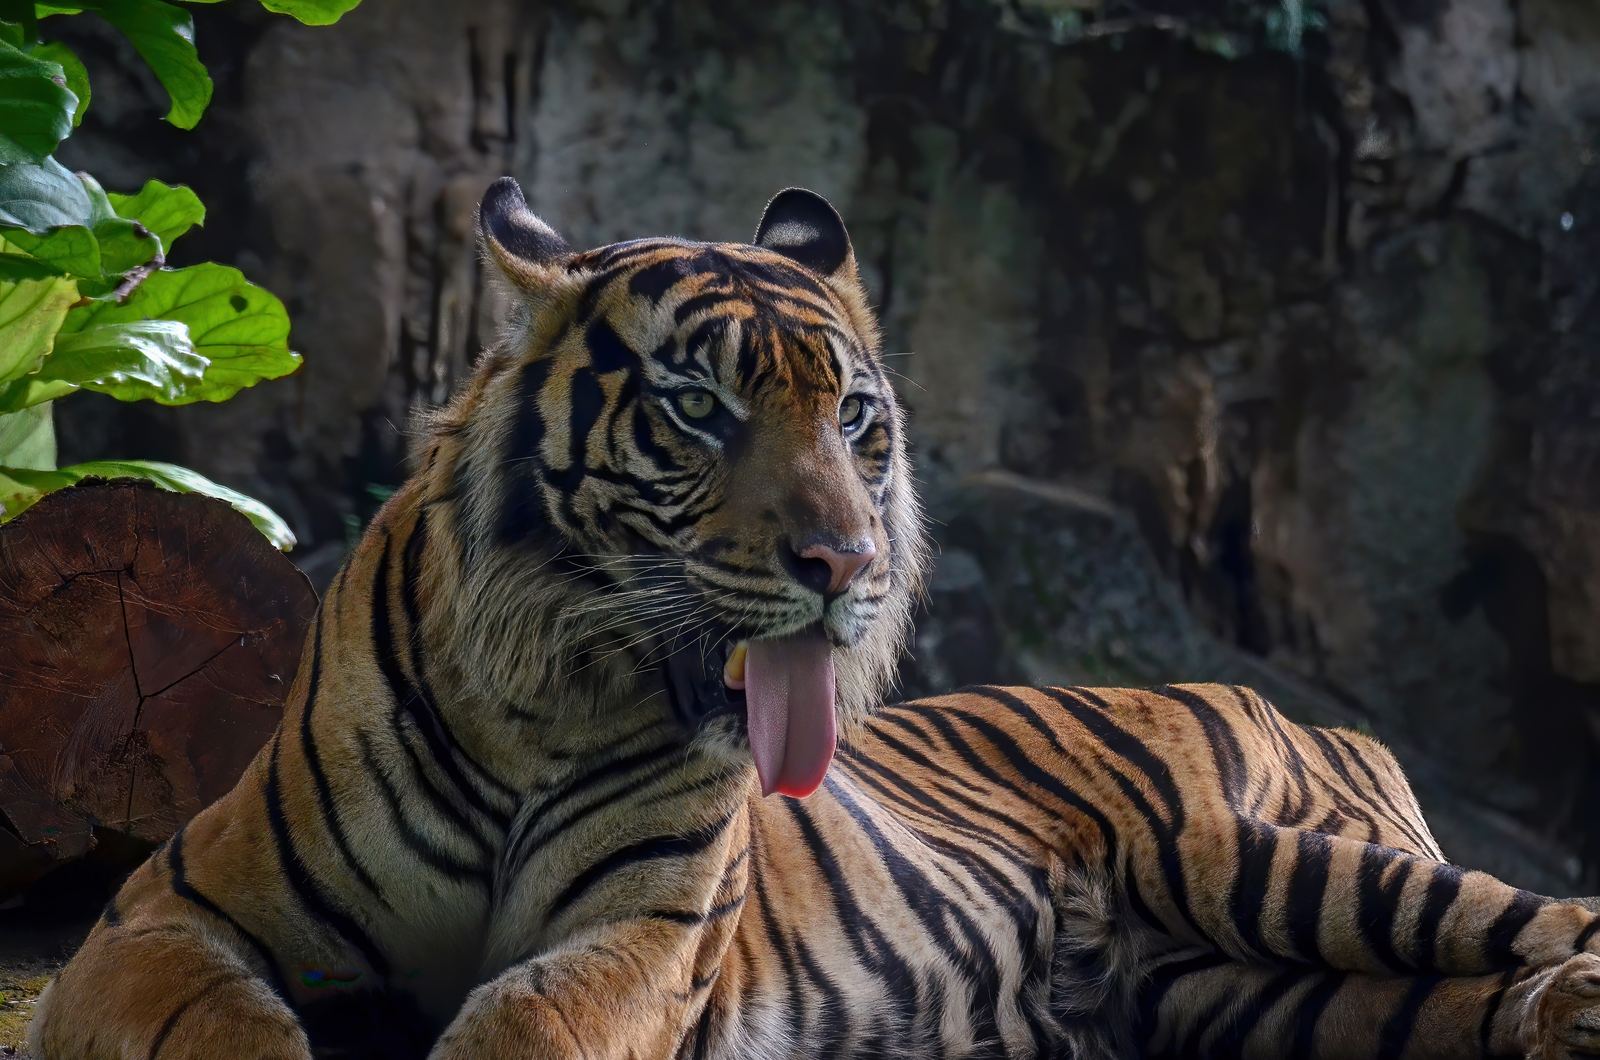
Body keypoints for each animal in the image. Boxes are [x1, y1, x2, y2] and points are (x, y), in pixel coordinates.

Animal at [26, 176, 1600, 1060]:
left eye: (854, 418)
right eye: (698, 408)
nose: (847, 564)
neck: (545, 702)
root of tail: (1300, 704)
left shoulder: (643, 934)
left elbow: (525, 1022)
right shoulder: (171, 908)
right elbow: (217, 1025)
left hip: (1262, 858)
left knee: (1547, 915)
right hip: (1252, 996)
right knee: (1449, 1003)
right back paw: (1556, 1023)